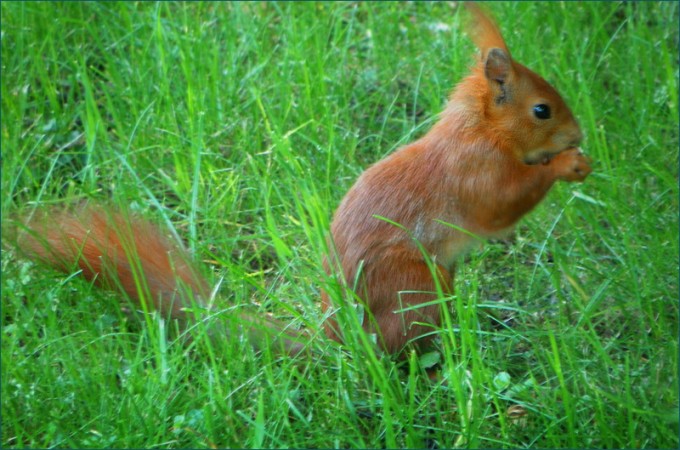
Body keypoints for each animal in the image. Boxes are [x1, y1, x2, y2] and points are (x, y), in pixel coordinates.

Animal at [12, 3, 591, 357]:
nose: (578, 134)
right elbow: (502, 206)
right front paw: (568, 165)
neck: (481, 130)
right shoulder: (475, 172)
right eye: (541, 110)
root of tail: (340, 340)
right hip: (414, 285)